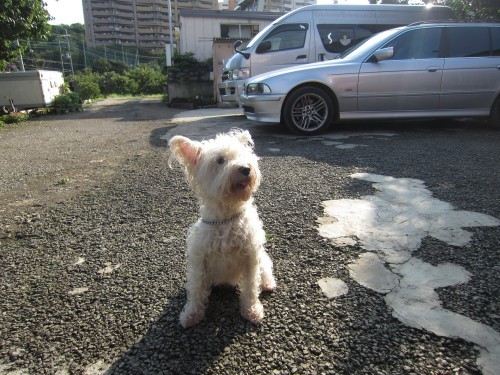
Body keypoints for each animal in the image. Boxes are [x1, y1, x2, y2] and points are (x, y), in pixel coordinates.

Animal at [170, 128, 276, 328]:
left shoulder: (251, 258)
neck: (226, 217)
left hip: (262, 260)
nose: (246, 169)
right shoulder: (200, 260)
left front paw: (252, 311)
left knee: (266, 272)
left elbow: (251, 286)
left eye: (243, 155)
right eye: (219, 160)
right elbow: (196, 289)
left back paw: (268, 284)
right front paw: (191, 315)